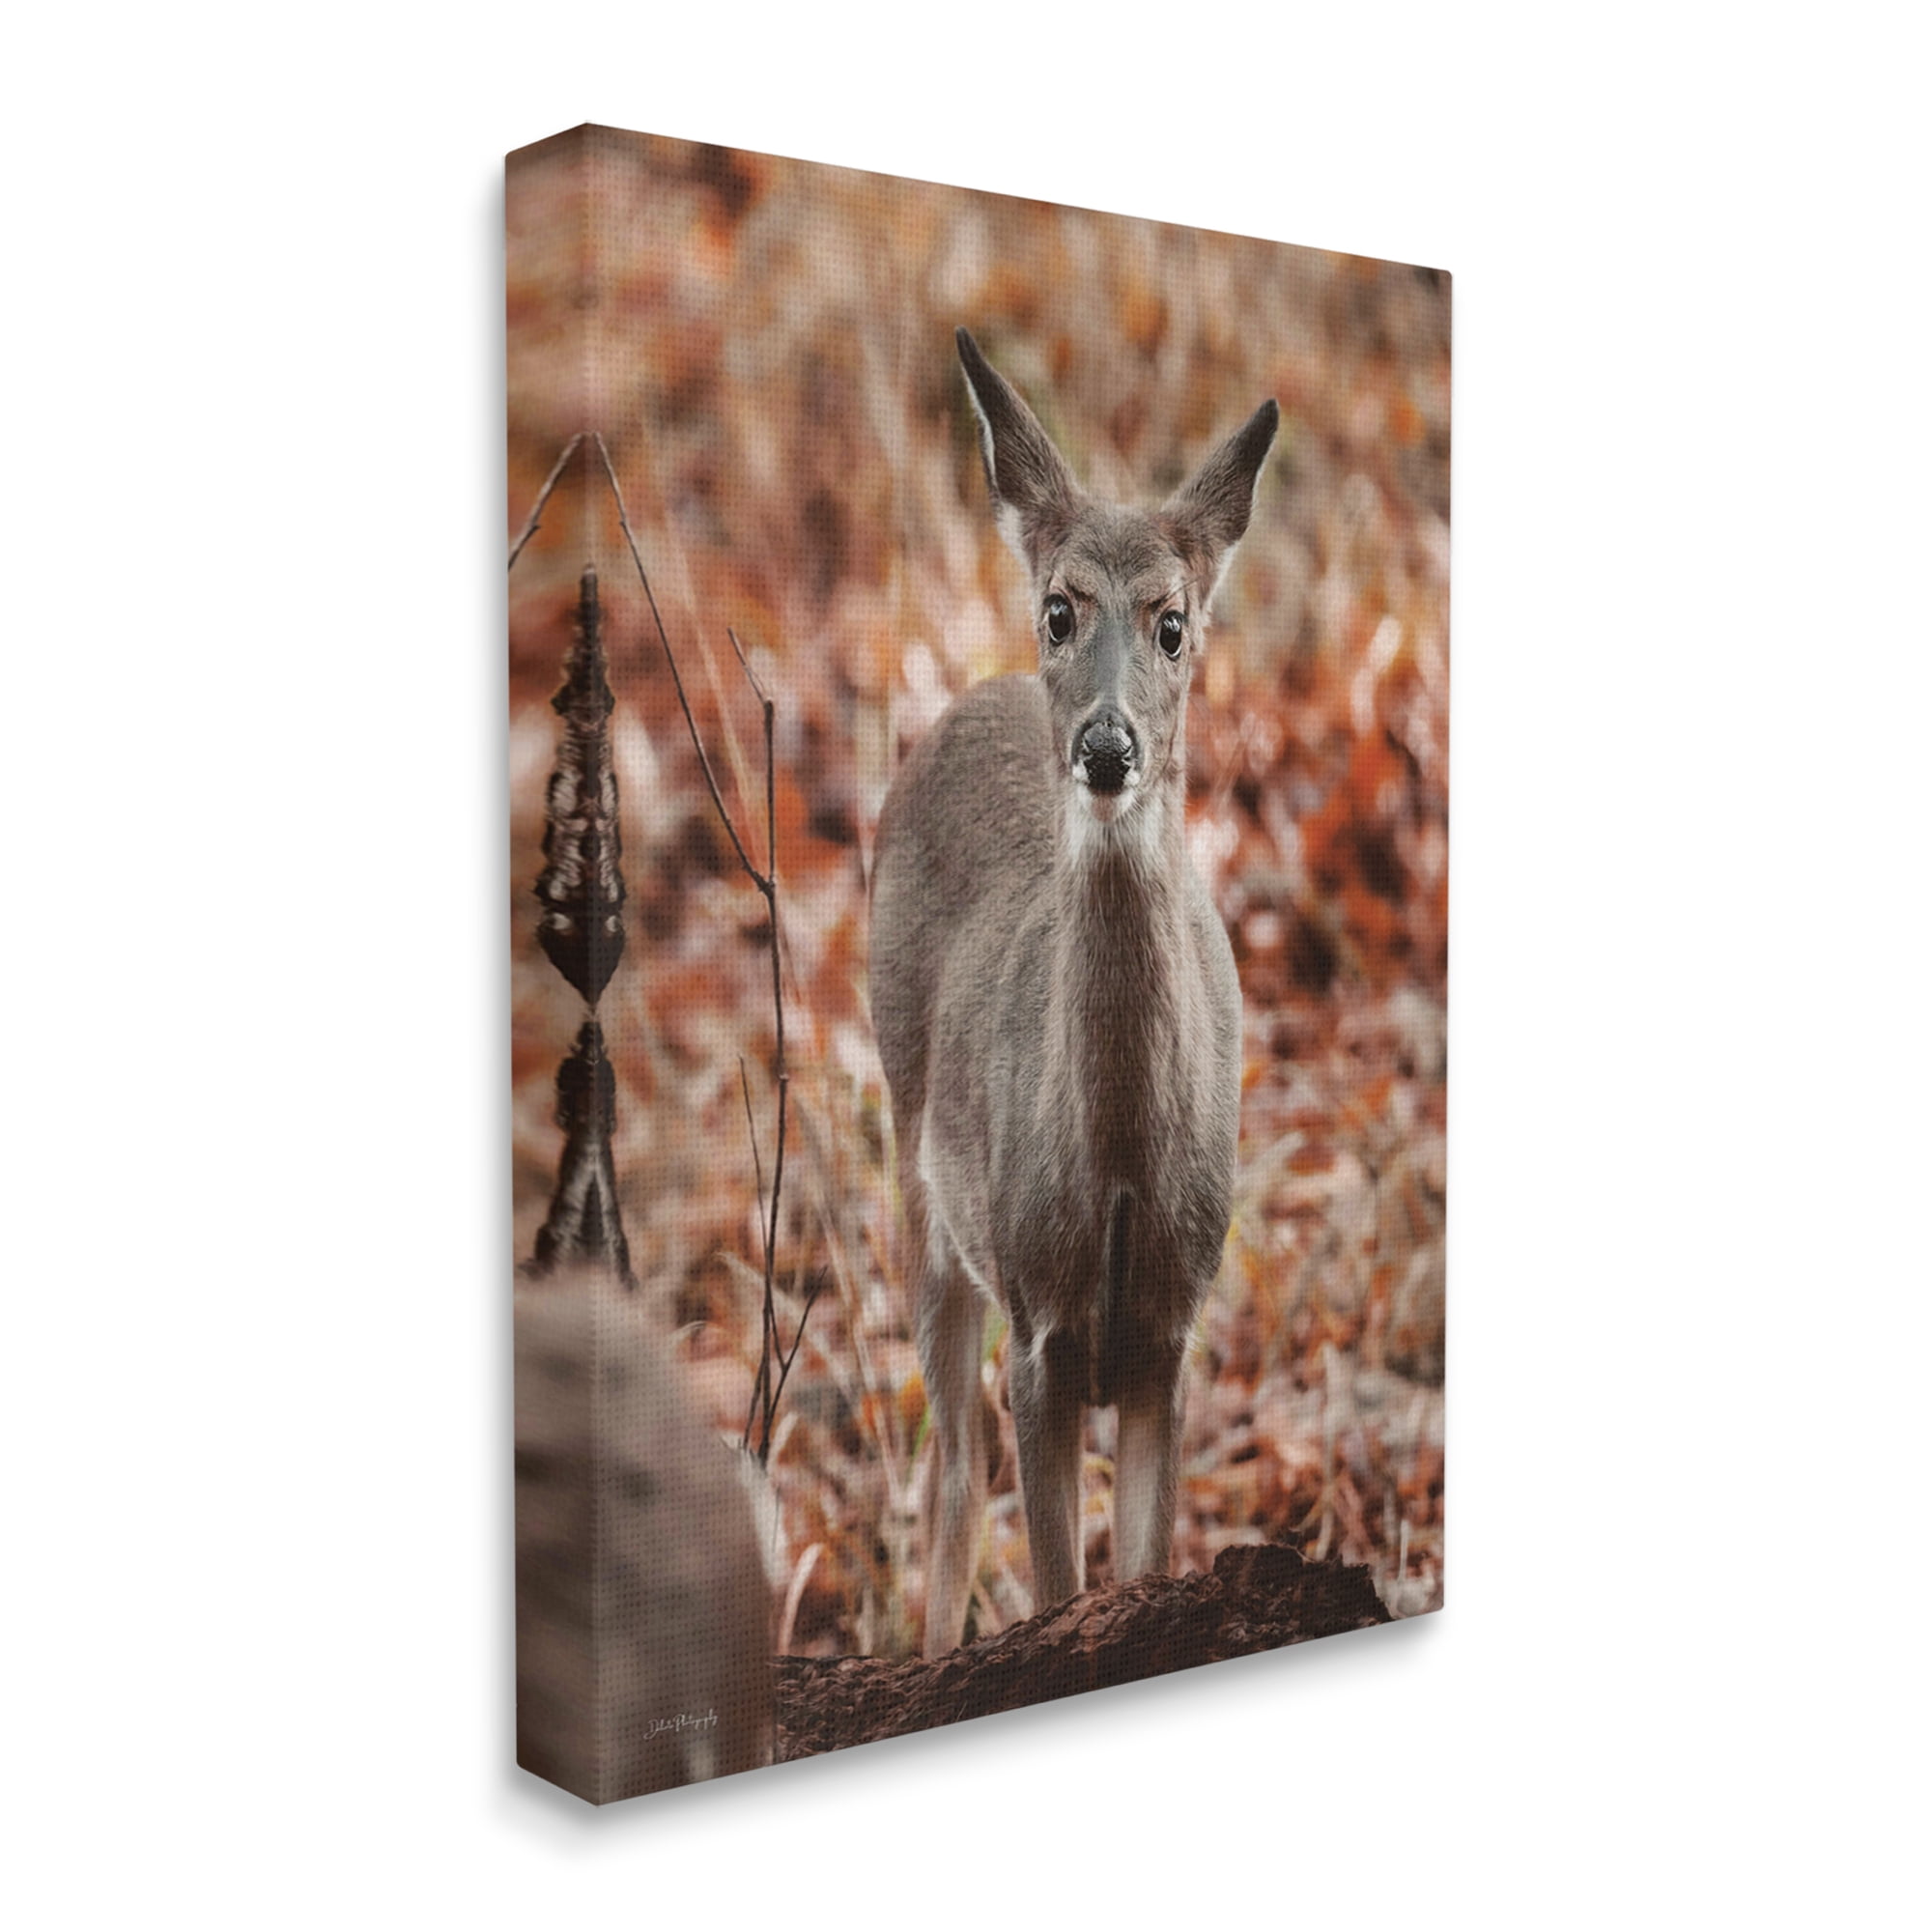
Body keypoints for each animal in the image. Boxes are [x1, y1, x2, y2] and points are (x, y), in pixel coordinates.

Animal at [871, 327, 1277, 1655]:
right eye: (1059, 607)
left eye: (1173, 621)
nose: (1105, 746)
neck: (1114, 1173)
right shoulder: (1039, 1334)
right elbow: (1057, 1587)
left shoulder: (1166, 1338)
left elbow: (1135, 1569)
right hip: (919, 1183)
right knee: (950, 1476)